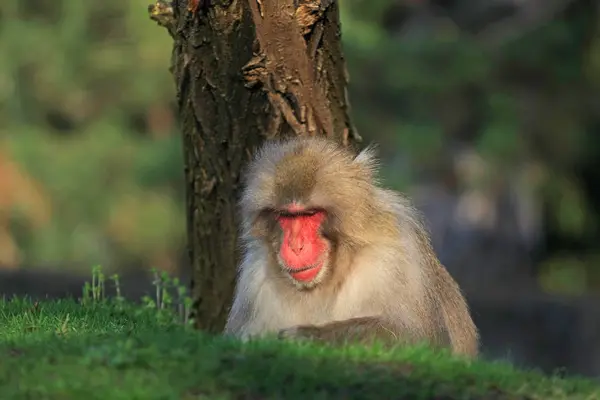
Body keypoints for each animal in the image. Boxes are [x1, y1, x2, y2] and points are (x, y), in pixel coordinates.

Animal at [223, 136, 480, 358]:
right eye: (286, 215)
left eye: (310, 214)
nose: (296, 246)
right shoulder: (254, 279)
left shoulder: (396, 254)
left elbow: (421, 339)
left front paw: (304, 337)